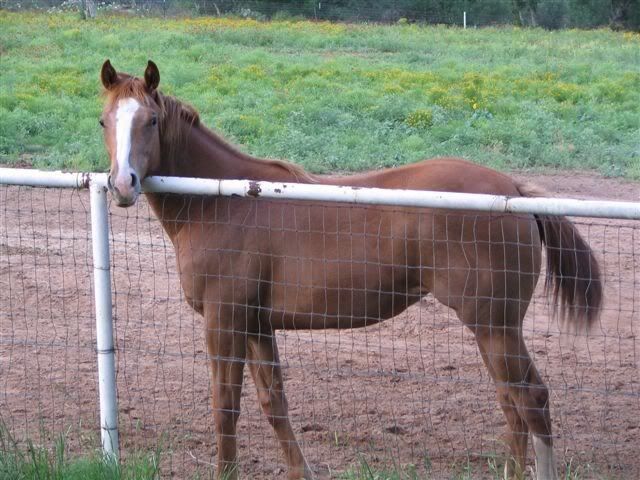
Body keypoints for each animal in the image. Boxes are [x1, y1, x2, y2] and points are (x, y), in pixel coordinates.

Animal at [99, 61, 600, 480]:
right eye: (105, 121)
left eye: (151, 120)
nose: (122, 185)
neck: (223, 202)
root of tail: (513, 190)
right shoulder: (256, 324)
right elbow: (273, 403)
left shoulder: (225, 321)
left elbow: (226, 408)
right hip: (491, 328)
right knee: (511, 404)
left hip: (494, 324)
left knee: (530, 399)